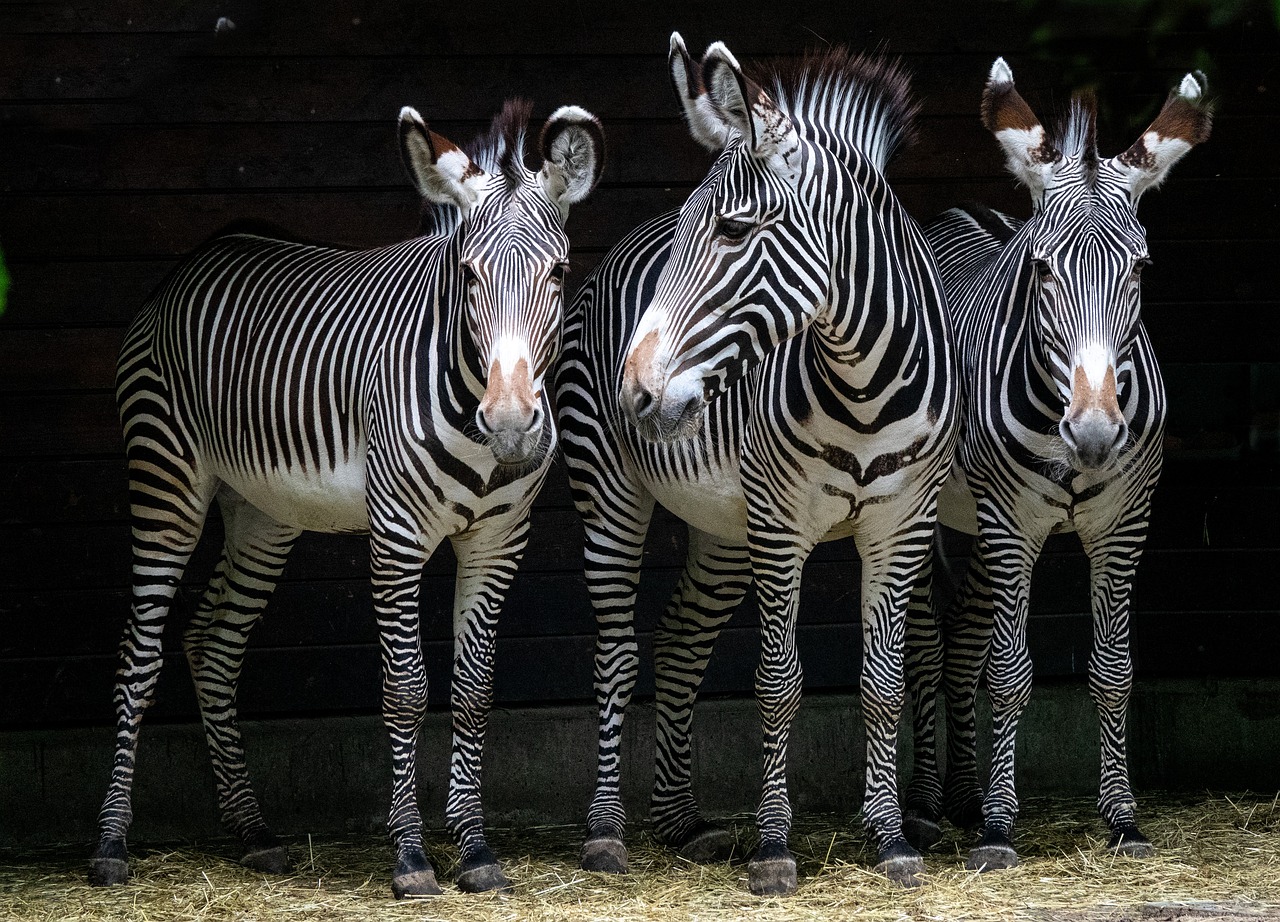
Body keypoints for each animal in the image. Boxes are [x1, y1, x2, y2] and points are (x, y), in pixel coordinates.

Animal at [88, 99, 604, 891]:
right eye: (468, 275)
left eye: (559, 272)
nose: (514, 424)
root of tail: (200, 254)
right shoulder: (396, 536)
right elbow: (406, 689)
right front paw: (412, 857)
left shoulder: (498, 541)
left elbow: (474, 690)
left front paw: (476, 850)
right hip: (165, 476)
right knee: (138, 656)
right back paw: (112, 844)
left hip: (262, 511)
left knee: (213, 644)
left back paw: (253, 831)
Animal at [555, 36, 957, 891]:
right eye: (693, 231)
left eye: (735, 232)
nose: (635, 393)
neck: (865, 383)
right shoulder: (781, 527)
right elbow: (778, 684)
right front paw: (774, 847)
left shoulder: (901, 525)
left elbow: (881, 683)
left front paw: (891, 840)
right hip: (613, 497)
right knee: (614, 655)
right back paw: (606, 834)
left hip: (722, 528)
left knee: (679, 643)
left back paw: (680, 822)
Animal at [901, 59, 1208, 870]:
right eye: (1041, 270)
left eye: (1141, 270)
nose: (1095, 434)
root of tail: (956, 215)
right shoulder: (1013, 526)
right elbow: (1009, 673)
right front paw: (1000, 832)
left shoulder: (1124, 526)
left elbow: (1113, 670)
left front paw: (1123, 820)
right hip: (922, 510)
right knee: (924, 645)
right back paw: (925, 808)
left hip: (973, 523)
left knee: (961, 640)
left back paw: (962, 796)